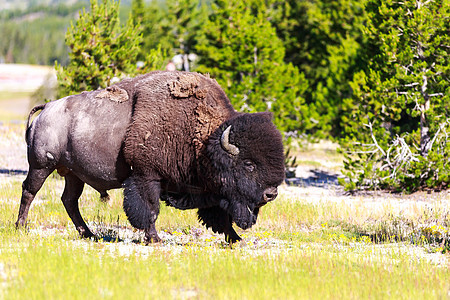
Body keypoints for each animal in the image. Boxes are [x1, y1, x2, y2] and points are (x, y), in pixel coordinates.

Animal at [17, 71, 286, 243]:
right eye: (249, 164)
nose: (271, 194)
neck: (204, 140)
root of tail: (47, 107)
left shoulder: (213, 191)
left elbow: (221, 216)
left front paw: (236, 239)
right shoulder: (147, 176)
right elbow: (150, 209)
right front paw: (154, 239)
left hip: (74, 174)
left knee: (69, 200)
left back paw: (88, 234)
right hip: (41, 165)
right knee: (30, 191)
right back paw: (21, 227)